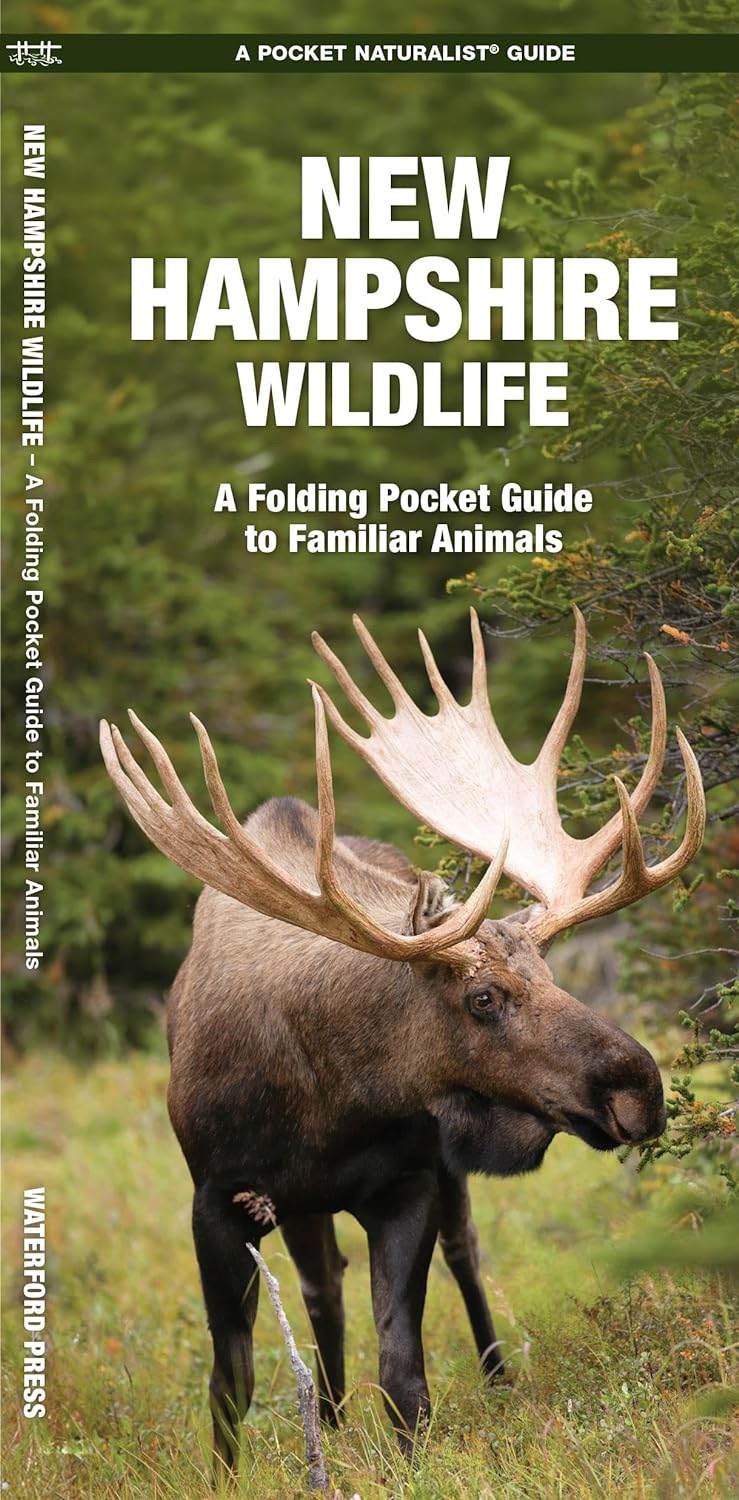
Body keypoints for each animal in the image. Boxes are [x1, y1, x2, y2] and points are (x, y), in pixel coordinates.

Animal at [99, 608, 705, 1480]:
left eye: (550, 973)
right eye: (482, 998)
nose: (638, 1087)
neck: (329, 1099)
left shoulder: (407, 1182)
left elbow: (404, 1374)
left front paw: (408, 1460)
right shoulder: (216, 1197)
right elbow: (230, 1381)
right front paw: (227, 1473)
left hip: (431, 1187)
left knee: (462, 1256)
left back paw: (491, 1380)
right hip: (296, 1207)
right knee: (322, 1292)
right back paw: (328, 1417)